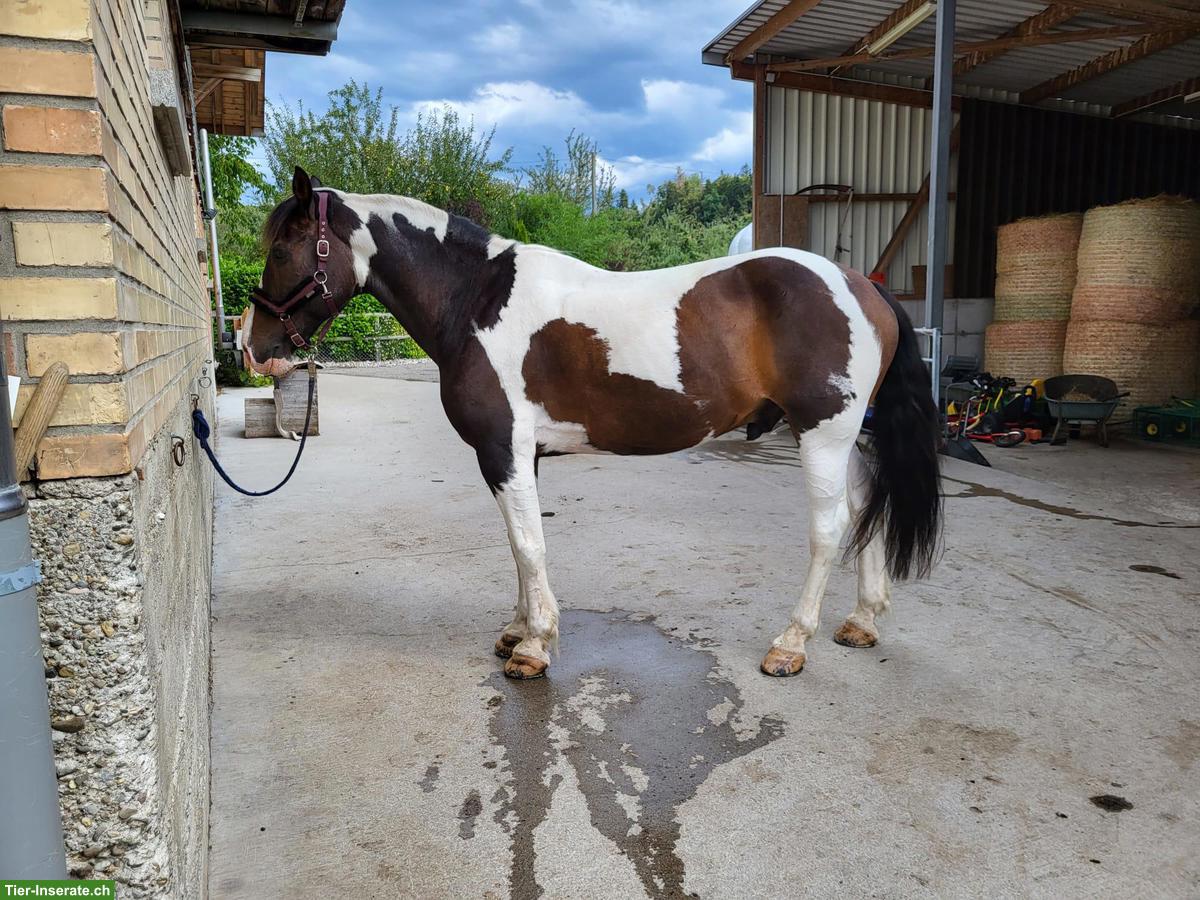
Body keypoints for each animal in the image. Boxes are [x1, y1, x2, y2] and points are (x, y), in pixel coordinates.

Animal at [243, 167, 942, 680]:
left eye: (282, 246)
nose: (254, 347)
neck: (476, 299)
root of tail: (862, 286)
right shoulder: (518, 457)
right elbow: (519, 544)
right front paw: (517, 630)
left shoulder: (501, 449)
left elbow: (529, 544)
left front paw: (534, 647)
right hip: (841, 436)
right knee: (865, 509)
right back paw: (862, 622)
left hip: (822, 432)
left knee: (829, 528)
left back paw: (791, 644)